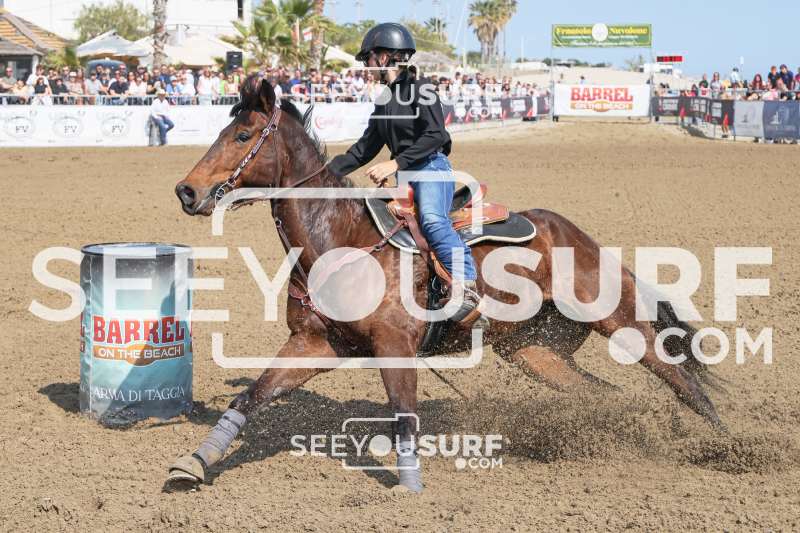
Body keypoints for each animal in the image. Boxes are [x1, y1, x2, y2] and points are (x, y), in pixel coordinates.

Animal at [165, 75, 726, 493]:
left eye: (242, 136)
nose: (186, 191)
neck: (341, 239)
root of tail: (578, 235)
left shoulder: (395, 346)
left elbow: (404, 419)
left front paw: (410, 491)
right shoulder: (314, 343)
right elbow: (250, 398)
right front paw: (192, 464)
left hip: (619, 320)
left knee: (684, 381)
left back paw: (729, 444)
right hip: (533, 351)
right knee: (599, 393)